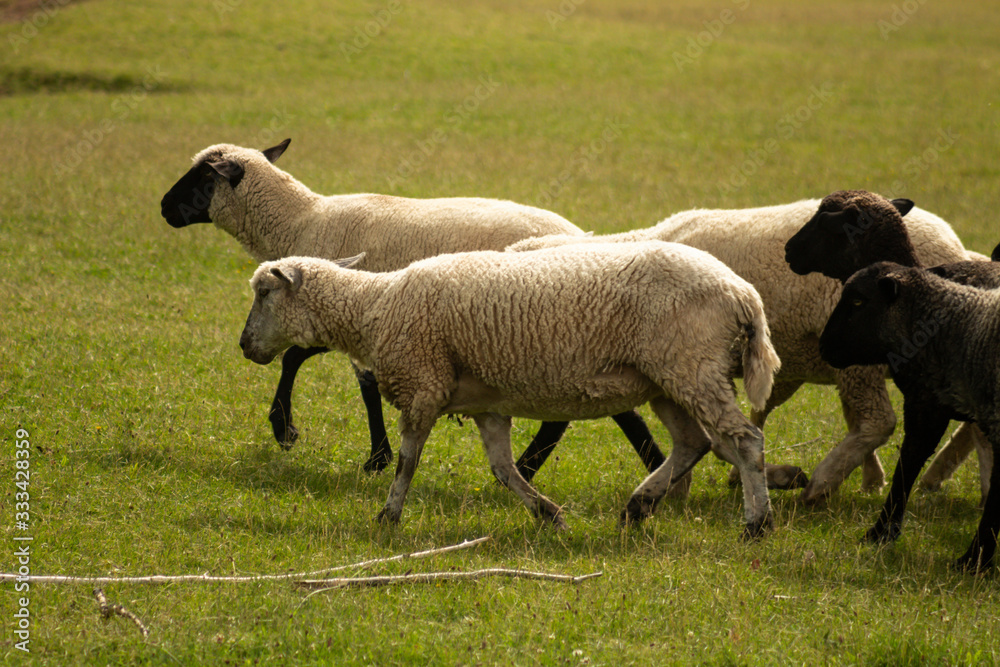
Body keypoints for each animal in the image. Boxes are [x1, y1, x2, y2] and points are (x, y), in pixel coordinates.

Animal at [160, 139, 665, 478]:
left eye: (203, 177)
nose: (163, 207)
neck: (301, 221)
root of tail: (589, 239)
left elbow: (314, 366)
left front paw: (302, 435)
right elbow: (325, 368)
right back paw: (649, 466)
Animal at [237, 242, 781, 538]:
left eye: (264, 292)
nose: (244, 345)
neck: (377, 307)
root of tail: (743, 292)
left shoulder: (424, 383)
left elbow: (407, 462)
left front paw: (388, 516)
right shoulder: (487, 405)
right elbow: (502, 470)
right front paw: (549, 515)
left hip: (691, 367)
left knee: (743, 441)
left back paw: (756, 524)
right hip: (669, 379)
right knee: (694, 443)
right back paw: (638, 507)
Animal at [819, 261, 1000, 571]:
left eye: (858, 301)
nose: (823, 346)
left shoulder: (926, 405)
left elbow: (906, 467)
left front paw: (973, 561)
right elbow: (908, 464)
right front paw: (881, 534)